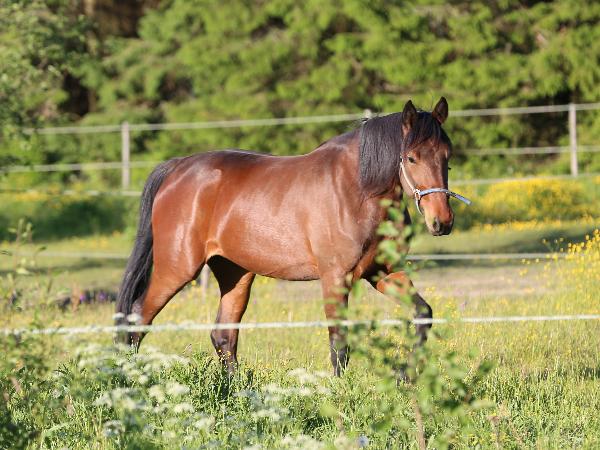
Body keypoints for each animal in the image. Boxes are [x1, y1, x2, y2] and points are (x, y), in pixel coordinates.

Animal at [116, 97, 471, 376]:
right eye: (411, 157)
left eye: (447, 155)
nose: (441, 221)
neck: (355, 190)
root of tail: (177, 169)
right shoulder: (335, 278)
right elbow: (339, 343)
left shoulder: (383, 272)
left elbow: (423, 315)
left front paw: (405, 376)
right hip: (177, 269)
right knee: (137, 320)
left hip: (235, 273)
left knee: (224, 336)